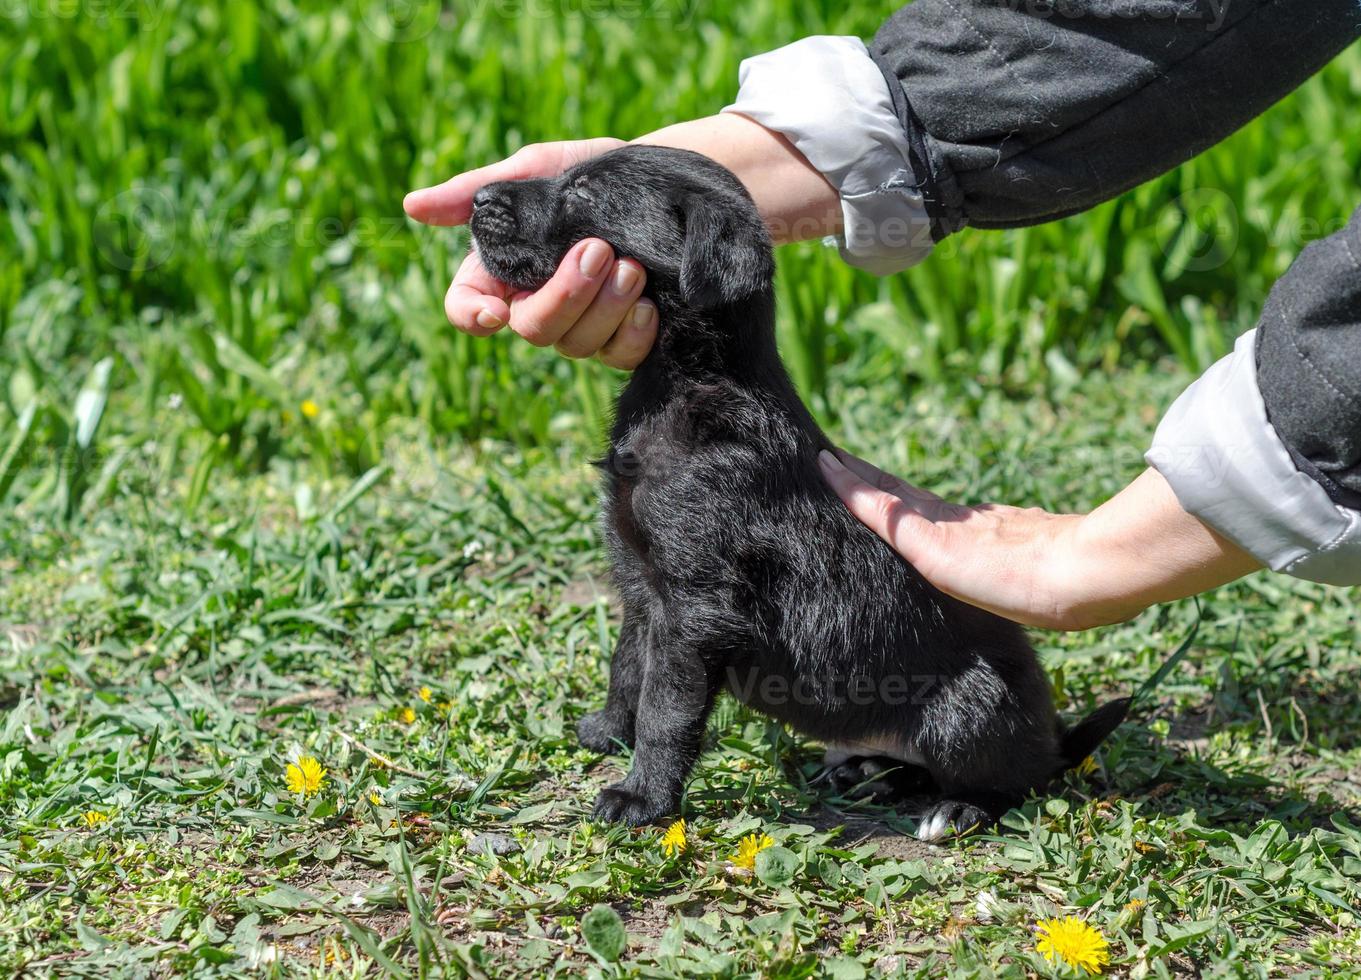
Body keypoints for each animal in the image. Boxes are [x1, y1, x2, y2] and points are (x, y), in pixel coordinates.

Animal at [468, 145, 1126, 843]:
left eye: (585, 193)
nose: (478, 197)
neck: (690, 381)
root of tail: (1053, 738)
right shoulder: (643, 588)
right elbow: (628, 669)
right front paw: (608, 731)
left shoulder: (696, 608)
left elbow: (666, 708)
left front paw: (642, 796)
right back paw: (866, 772)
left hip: (973, 704)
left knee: (1013, 782)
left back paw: (958, 809)